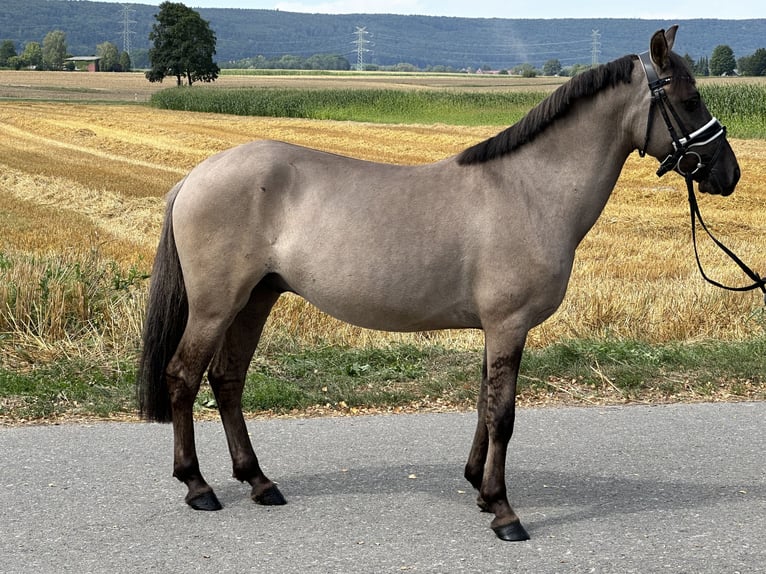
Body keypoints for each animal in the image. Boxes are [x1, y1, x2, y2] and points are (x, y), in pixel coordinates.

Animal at [140, 25, 744, 540]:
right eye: (690, 98)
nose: (729, 173)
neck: (529, 189)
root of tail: (195, 176)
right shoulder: (508, 325)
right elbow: (502, 414)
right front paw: (503, 511)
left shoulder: (496, 329)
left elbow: (483, 405)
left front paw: (479, 487)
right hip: (217, 305)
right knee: (183, 378)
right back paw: (198, 486)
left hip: (255, 300)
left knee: (227, 381)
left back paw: (259, 481)